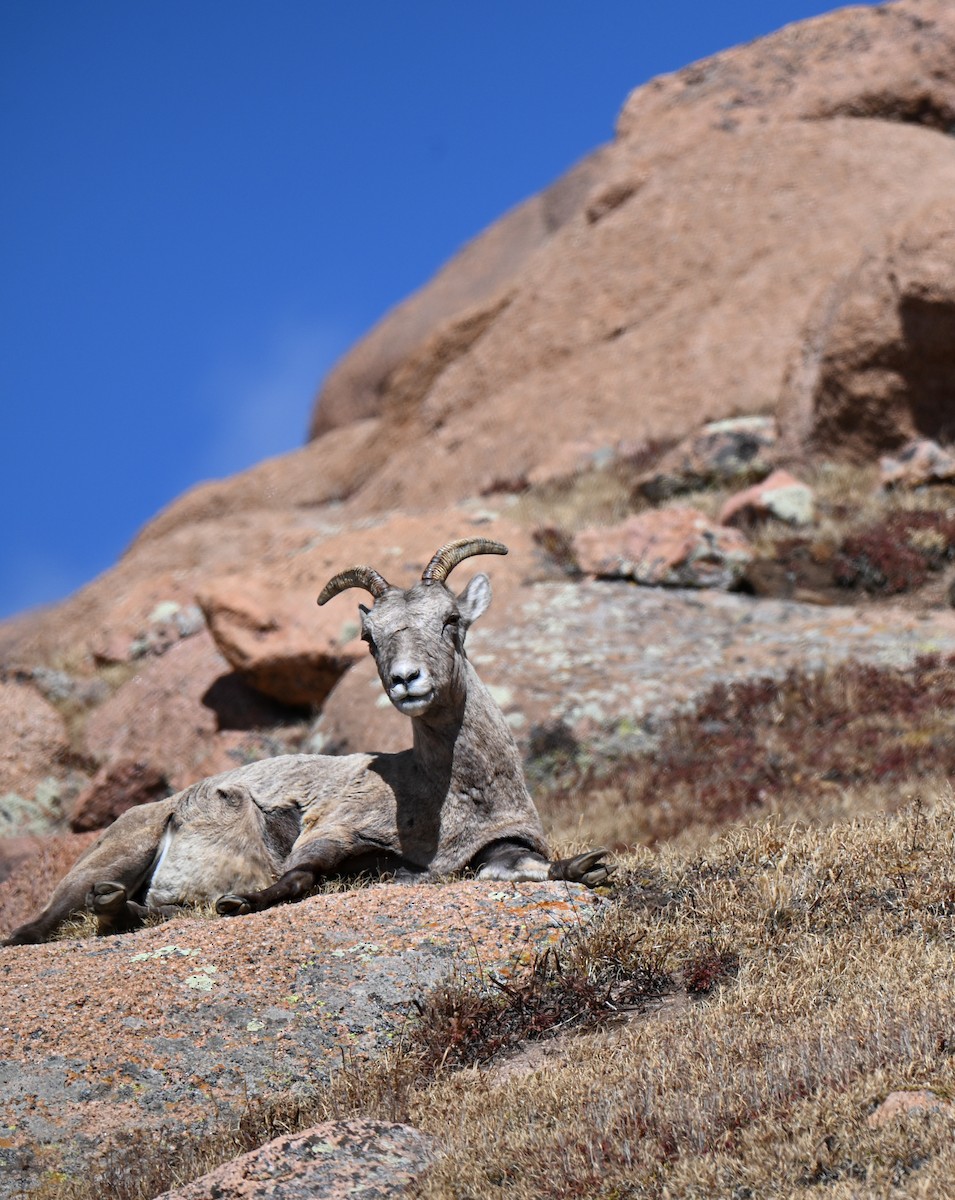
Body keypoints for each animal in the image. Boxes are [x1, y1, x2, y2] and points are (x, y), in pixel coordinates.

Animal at [2, 537, 611, 946]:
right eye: (370, 637)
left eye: (451, 619)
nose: (406, 680)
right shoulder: (331, 831)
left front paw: (588, 867)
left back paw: (122, 911)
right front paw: (242, 901)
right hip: (118, 855)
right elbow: (296, 878)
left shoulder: (498, 850)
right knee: (37, 928)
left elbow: (534, 870)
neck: (448, 799)